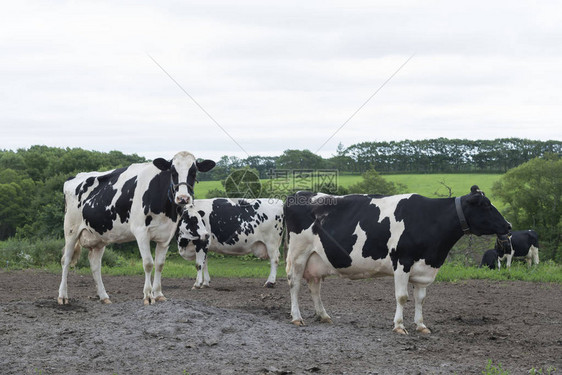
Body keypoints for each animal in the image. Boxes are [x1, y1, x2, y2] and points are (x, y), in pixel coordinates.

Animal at [57, 152, 213, 306]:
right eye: (173, 172)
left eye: (193, 172)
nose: (183, 198)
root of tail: (73, 177)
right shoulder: (141, 232)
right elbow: (148, 263)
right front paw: (148, 296)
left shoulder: (166, 236)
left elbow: (160, 264)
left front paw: (159, 294)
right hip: (71, 229)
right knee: (66, 260)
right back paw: (63, 296)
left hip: (99, 236)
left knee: (95, 264)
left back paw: (104, 296)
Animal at [282, 187, 510, 336]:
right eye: (485, 205)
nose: (508, 225)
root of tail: (298, 194)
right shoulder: (402, 261)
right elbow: (402, 297)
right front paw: (400, 326)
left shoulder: (423, 267)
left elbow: (420, 299)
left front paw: (421, 325)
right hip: (298, 253)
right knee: (294, 283)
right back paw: (297, 317)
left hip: (316, 258)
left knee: (314, 286)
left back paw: (323, 315)